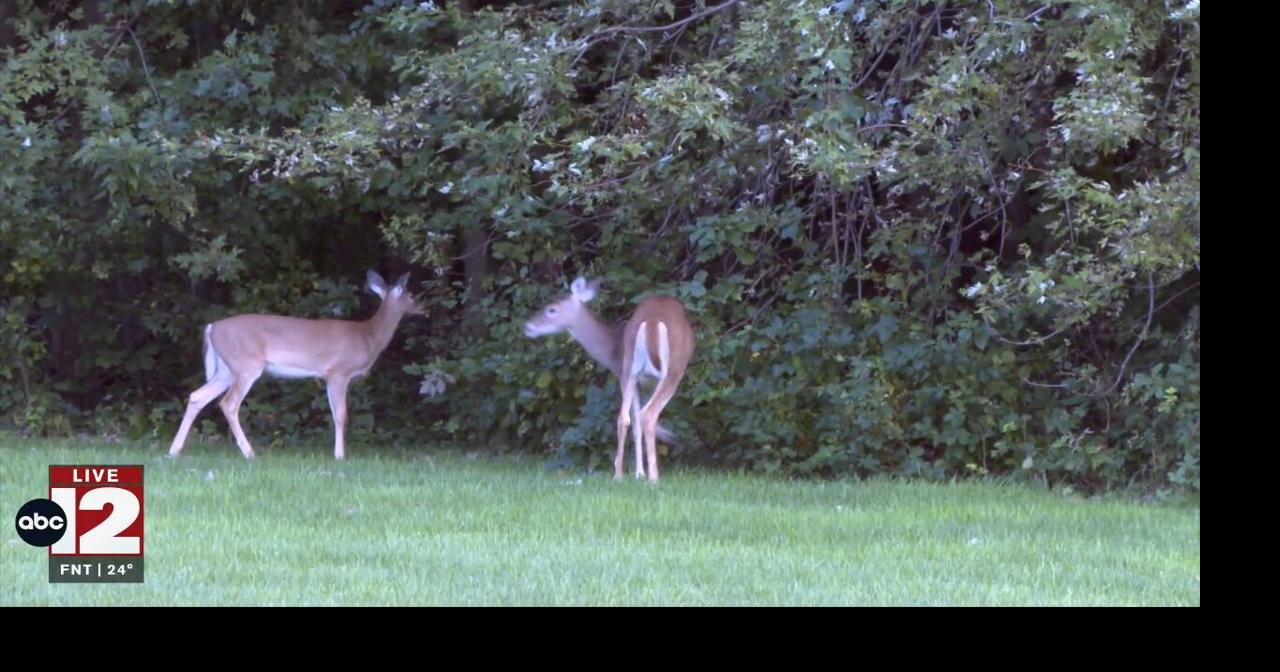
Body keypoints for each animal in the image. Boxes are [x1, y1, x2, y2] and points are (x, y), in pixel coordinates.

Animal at [166, 270, 423, 461]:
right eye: (411, 295)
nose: (423, 308)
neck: (368, 336)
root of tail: (212, 327)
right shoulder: (338, 371)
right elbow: (340, 414)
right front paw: (340, 455)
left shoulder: (330, 375)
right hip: (246, 365)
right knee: (228, 404)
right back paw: (250, 453)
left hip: (227, 370)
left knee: (197, 396)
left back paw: (174, 451)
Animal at [524, 276, 694, 483]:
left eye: (552, 309)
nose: (528, 327)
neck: (613, 350)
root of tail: (652, 322)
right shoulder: (636, 380)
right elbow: (637, 422)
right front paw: (640, 473)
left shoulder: (628, 377)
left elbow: (634, 423)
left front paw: (638, 473)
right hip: (668, 370)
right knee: (646, 415)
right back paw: (651, 478)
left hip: (635, 370)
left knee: (628, 417)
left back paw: (624, 474)